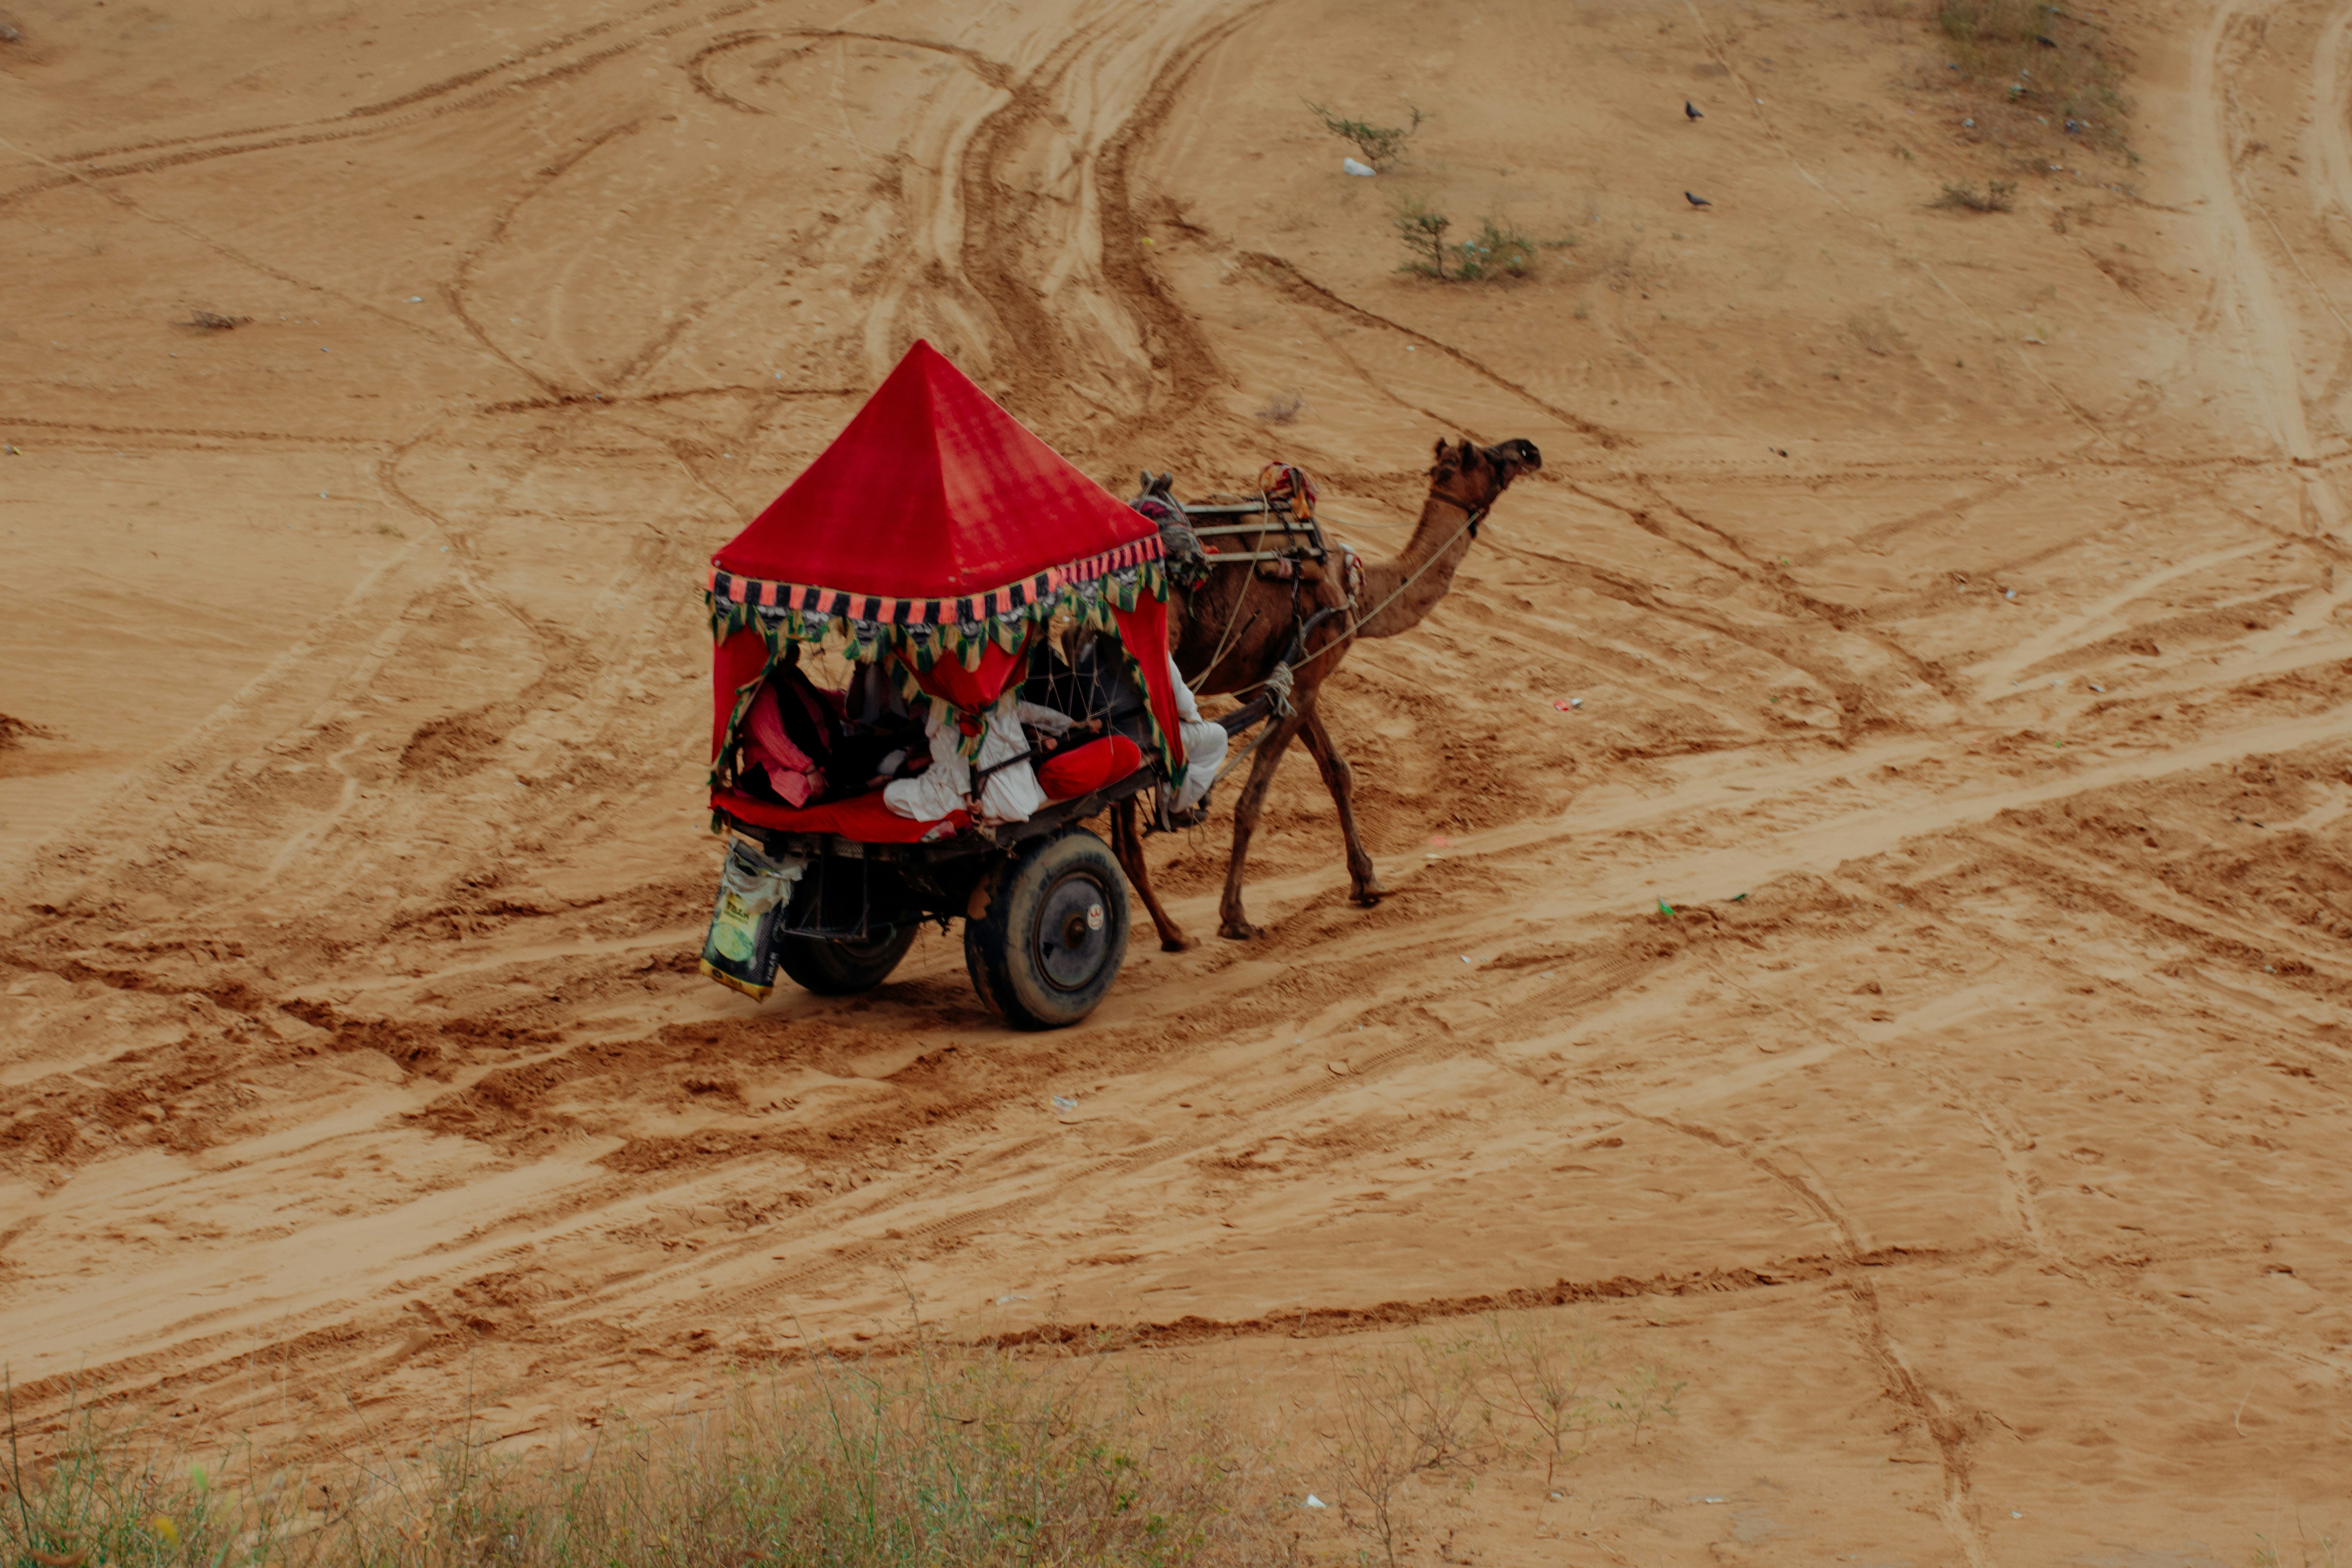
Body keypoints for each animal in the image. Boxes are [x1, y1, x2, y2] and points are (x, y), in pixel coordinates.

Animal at [1107, 436, 1542, 948]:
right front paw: (1235, 917)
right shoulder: (1305, 677)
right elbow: (1252, 801)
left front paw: (1367, 881)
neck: (1356, 589)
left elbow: (1338, 772)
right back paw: (1167, 929)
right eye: (1482, 455)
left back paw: (1169, 931)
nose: (1527, 449)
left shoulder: (1291, 682)